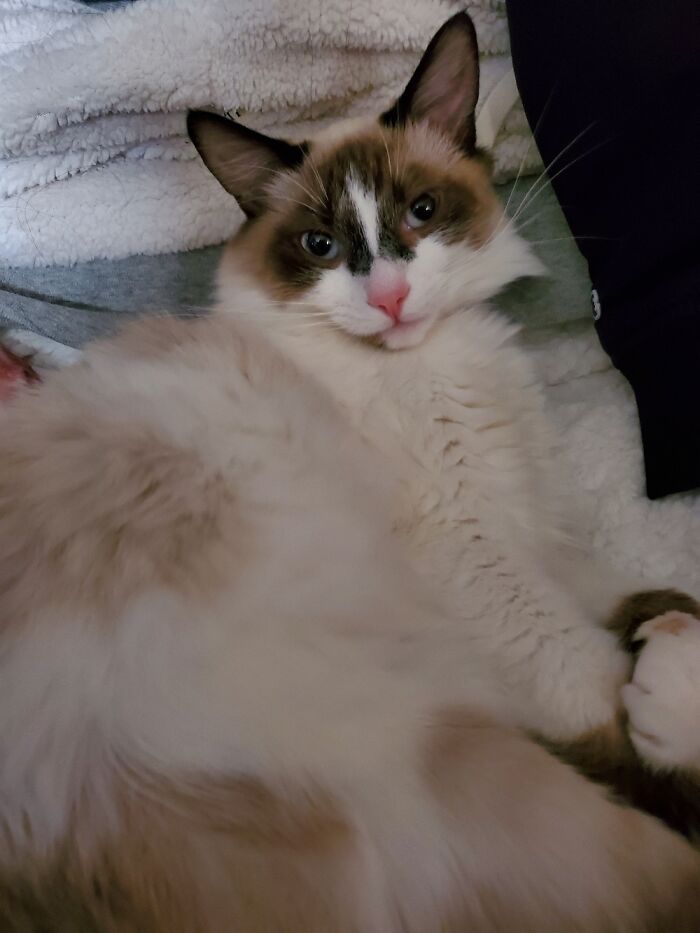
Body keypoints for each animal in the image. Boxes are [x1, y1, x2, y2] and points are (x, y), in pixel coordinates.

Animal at [0, 11, 700, 932]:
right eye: (321, 246)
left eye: (423, 212)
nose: (392, 298)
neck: (430, 364)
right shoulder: (480, 563)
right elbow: (593, 683)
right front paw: (653, 689)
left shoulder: (537, 531)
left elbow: (644, 595)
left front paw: (664, 636)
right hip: (461, 770)